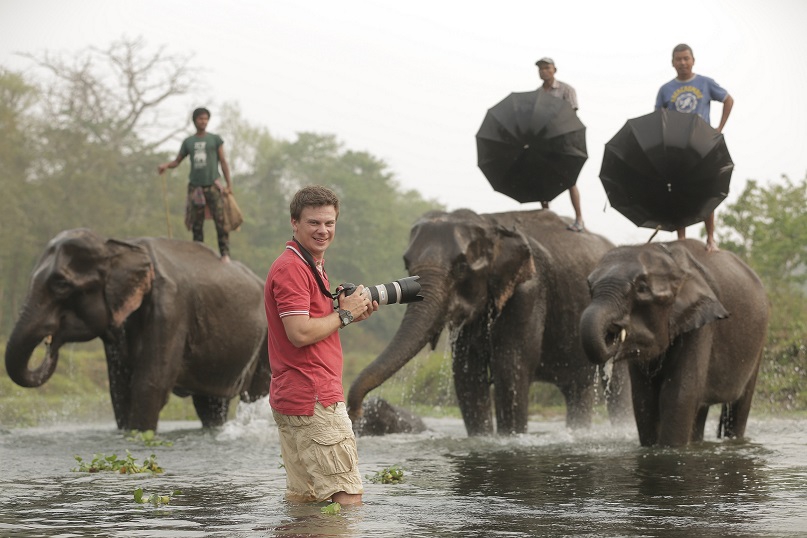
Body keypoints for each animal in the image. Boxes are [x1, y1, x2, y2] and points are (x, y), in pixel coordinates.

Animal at [4, 228, 274, 430]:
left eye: (61, 284)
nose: (51, 344)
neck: (119, 247)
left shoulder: (170, 309)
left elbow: (149, 384)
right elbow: (120, 389)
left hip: (266, 342)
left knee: (254, 395)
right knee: (209, 404)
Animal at [344, 207, 636, 434]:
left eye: (462, 267)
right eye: (406, 264)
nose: (357, 412)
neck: (490, 224)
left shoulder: (529, 291)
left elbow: (510, 369)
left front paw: (510, 439)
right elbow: (467, 375)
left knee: (615, 384)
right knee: (577, 388)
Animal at [580, 241, 772, 446]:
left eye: (641, 288)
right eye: (589, 288)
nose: (612, 333)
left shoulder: (701, 324)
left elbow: (679, 394)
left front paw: (670, 449)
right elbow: (643, 397)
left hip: (759, 343)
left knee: (739, 405)